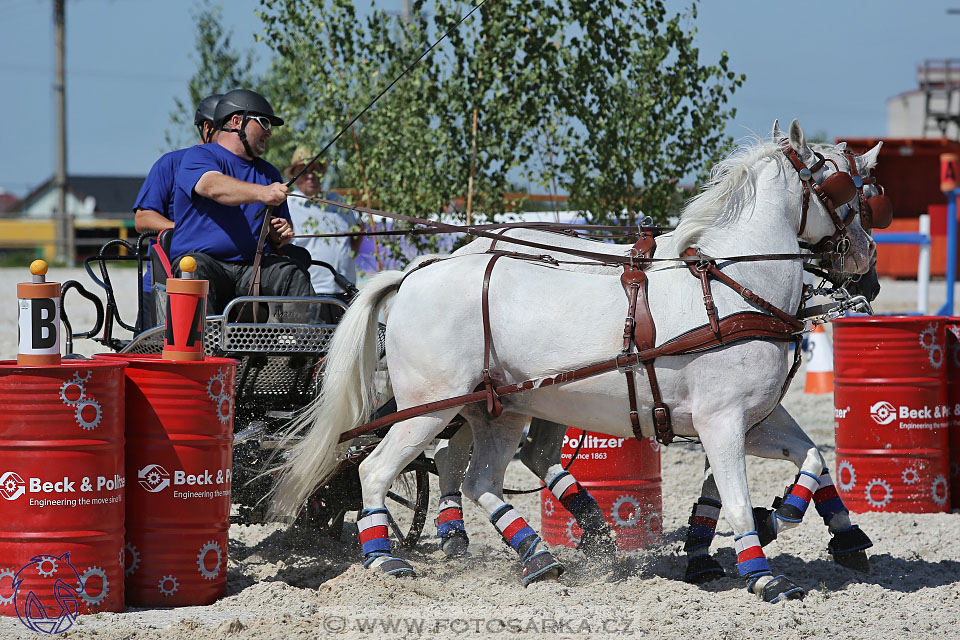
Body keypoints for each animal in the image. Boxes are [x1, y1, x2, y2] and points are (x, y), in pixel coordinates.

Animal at [272, 119, 864, 600]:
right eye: (846, 188)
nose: (864, 258)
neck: (730, 285)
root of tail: (416, 273)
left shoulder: (752, 418)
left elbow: (812, 458)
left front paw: (791, 520)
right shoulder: (720, 422)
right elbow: (739, 499)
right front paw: (764, 574)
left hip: (499, 410)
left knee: (477, 478)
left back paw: (537, 554)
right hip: (431, 407)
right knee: (379, 469)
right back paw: (385, 558)